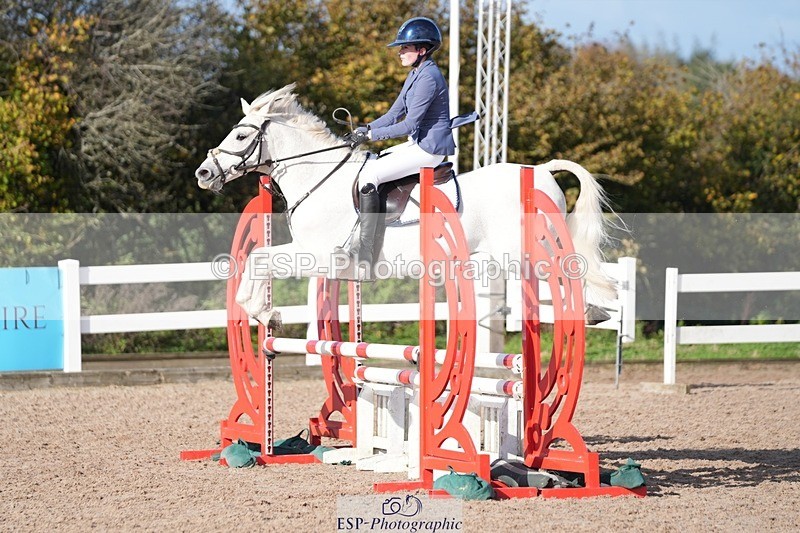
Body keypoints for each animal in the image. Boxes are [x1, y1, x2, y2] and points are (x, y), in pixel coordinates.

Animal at [194, 84, 616, 327]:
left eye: (241, 136)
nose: (203, 172)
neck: (319, 178)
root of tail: (540, 170)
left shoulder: (319, 256)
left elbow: (261, 259)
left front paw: (264, 311)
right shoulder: (304, 251)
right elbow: (257, 257)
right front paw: (261, 311)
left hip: (527, 248)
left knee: (567, 273)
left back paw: (590, 311)